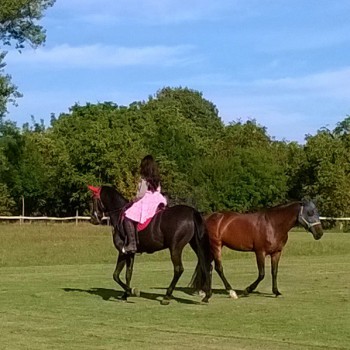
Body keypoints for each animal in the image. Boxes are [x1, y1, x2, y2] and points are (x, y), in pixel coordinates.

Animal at [190, 200, 324, 298]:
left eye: (317, 213)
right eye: (310, 213)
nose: (319, 233)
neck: (273, 225)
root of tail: (208, 218)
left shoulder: (276, 253)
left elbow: (274, 272)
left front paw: (276, 292)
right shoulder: (260, 252)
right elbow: (262, 274)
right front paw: (247, 290)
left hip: (214, 247)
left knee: (207, 266)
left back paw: (202, 290)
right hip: (216, 246)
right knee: (218, 268)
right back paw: (231, 292)